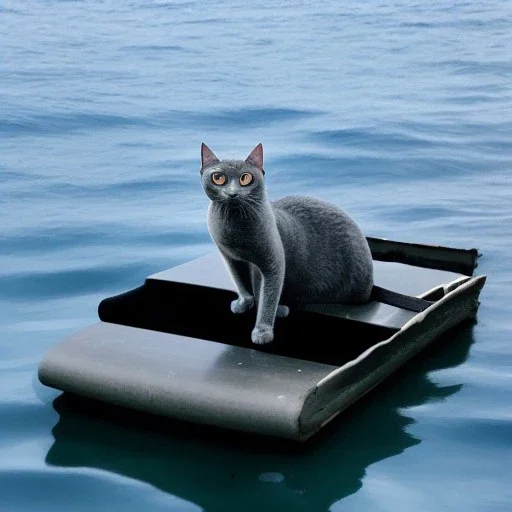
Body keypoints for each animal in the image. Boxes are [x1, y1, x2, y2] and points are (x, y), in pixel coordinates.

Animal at [199, 142, 372, 346]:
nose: (232, 193)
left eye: (245, 178)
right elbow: (242, 283)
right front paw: (244, 303)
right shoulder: (231, 258)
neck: (235, 232)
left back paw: (281, 309)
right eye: (218, 178)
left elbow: (268, 297)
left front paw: (262, 331)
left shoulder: (273, 262)